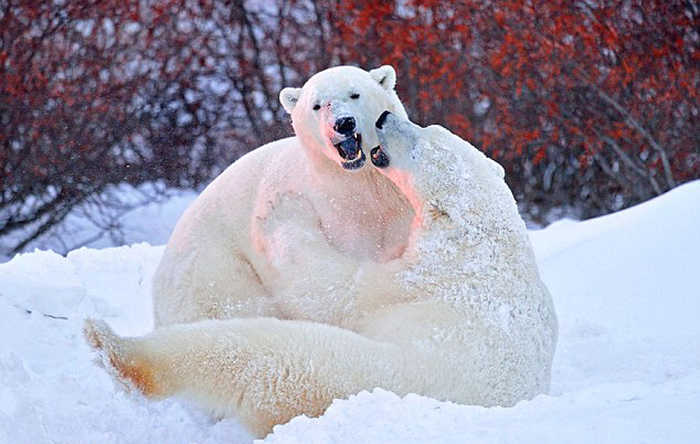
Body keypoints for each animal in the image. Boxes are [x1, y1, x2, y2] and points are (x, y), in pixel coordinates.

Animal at [83, 108, 556, 438]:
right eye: (432, 128)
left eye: (419, 144)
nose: (384, 118)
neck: (487, 236)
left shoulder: (422, 278)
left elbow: (337, 289)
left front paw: (283, 211)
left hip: (359, 371)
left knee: (262, 351)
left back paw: (114, 349)